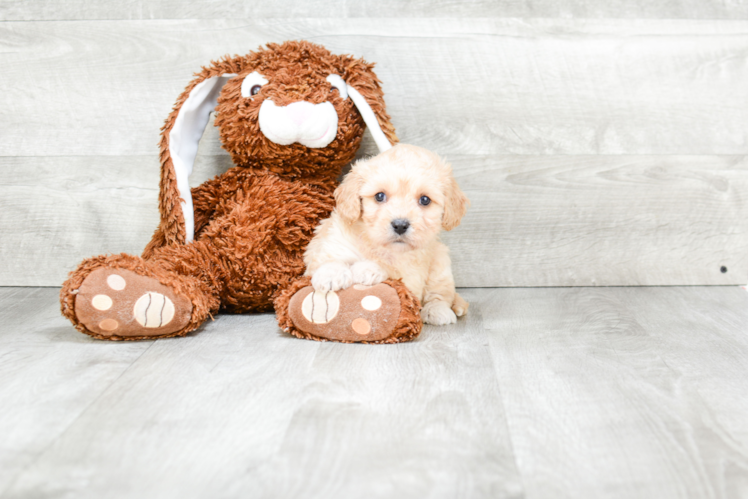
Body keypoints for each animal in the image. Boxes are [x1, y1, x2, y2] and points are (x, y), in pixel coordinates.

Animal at [302, 143, 468, 326]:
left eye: (425, 200)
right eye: (379, 196)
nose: (400, 225)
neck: (376, 243)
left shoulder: (411, 275)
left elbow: (391, 269)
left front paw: (367, 268)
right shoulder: (334, 240)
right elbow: (329, 258)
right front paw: (330, 274)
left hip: (440, 260)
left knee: (441, 294)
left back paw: (437, 311)